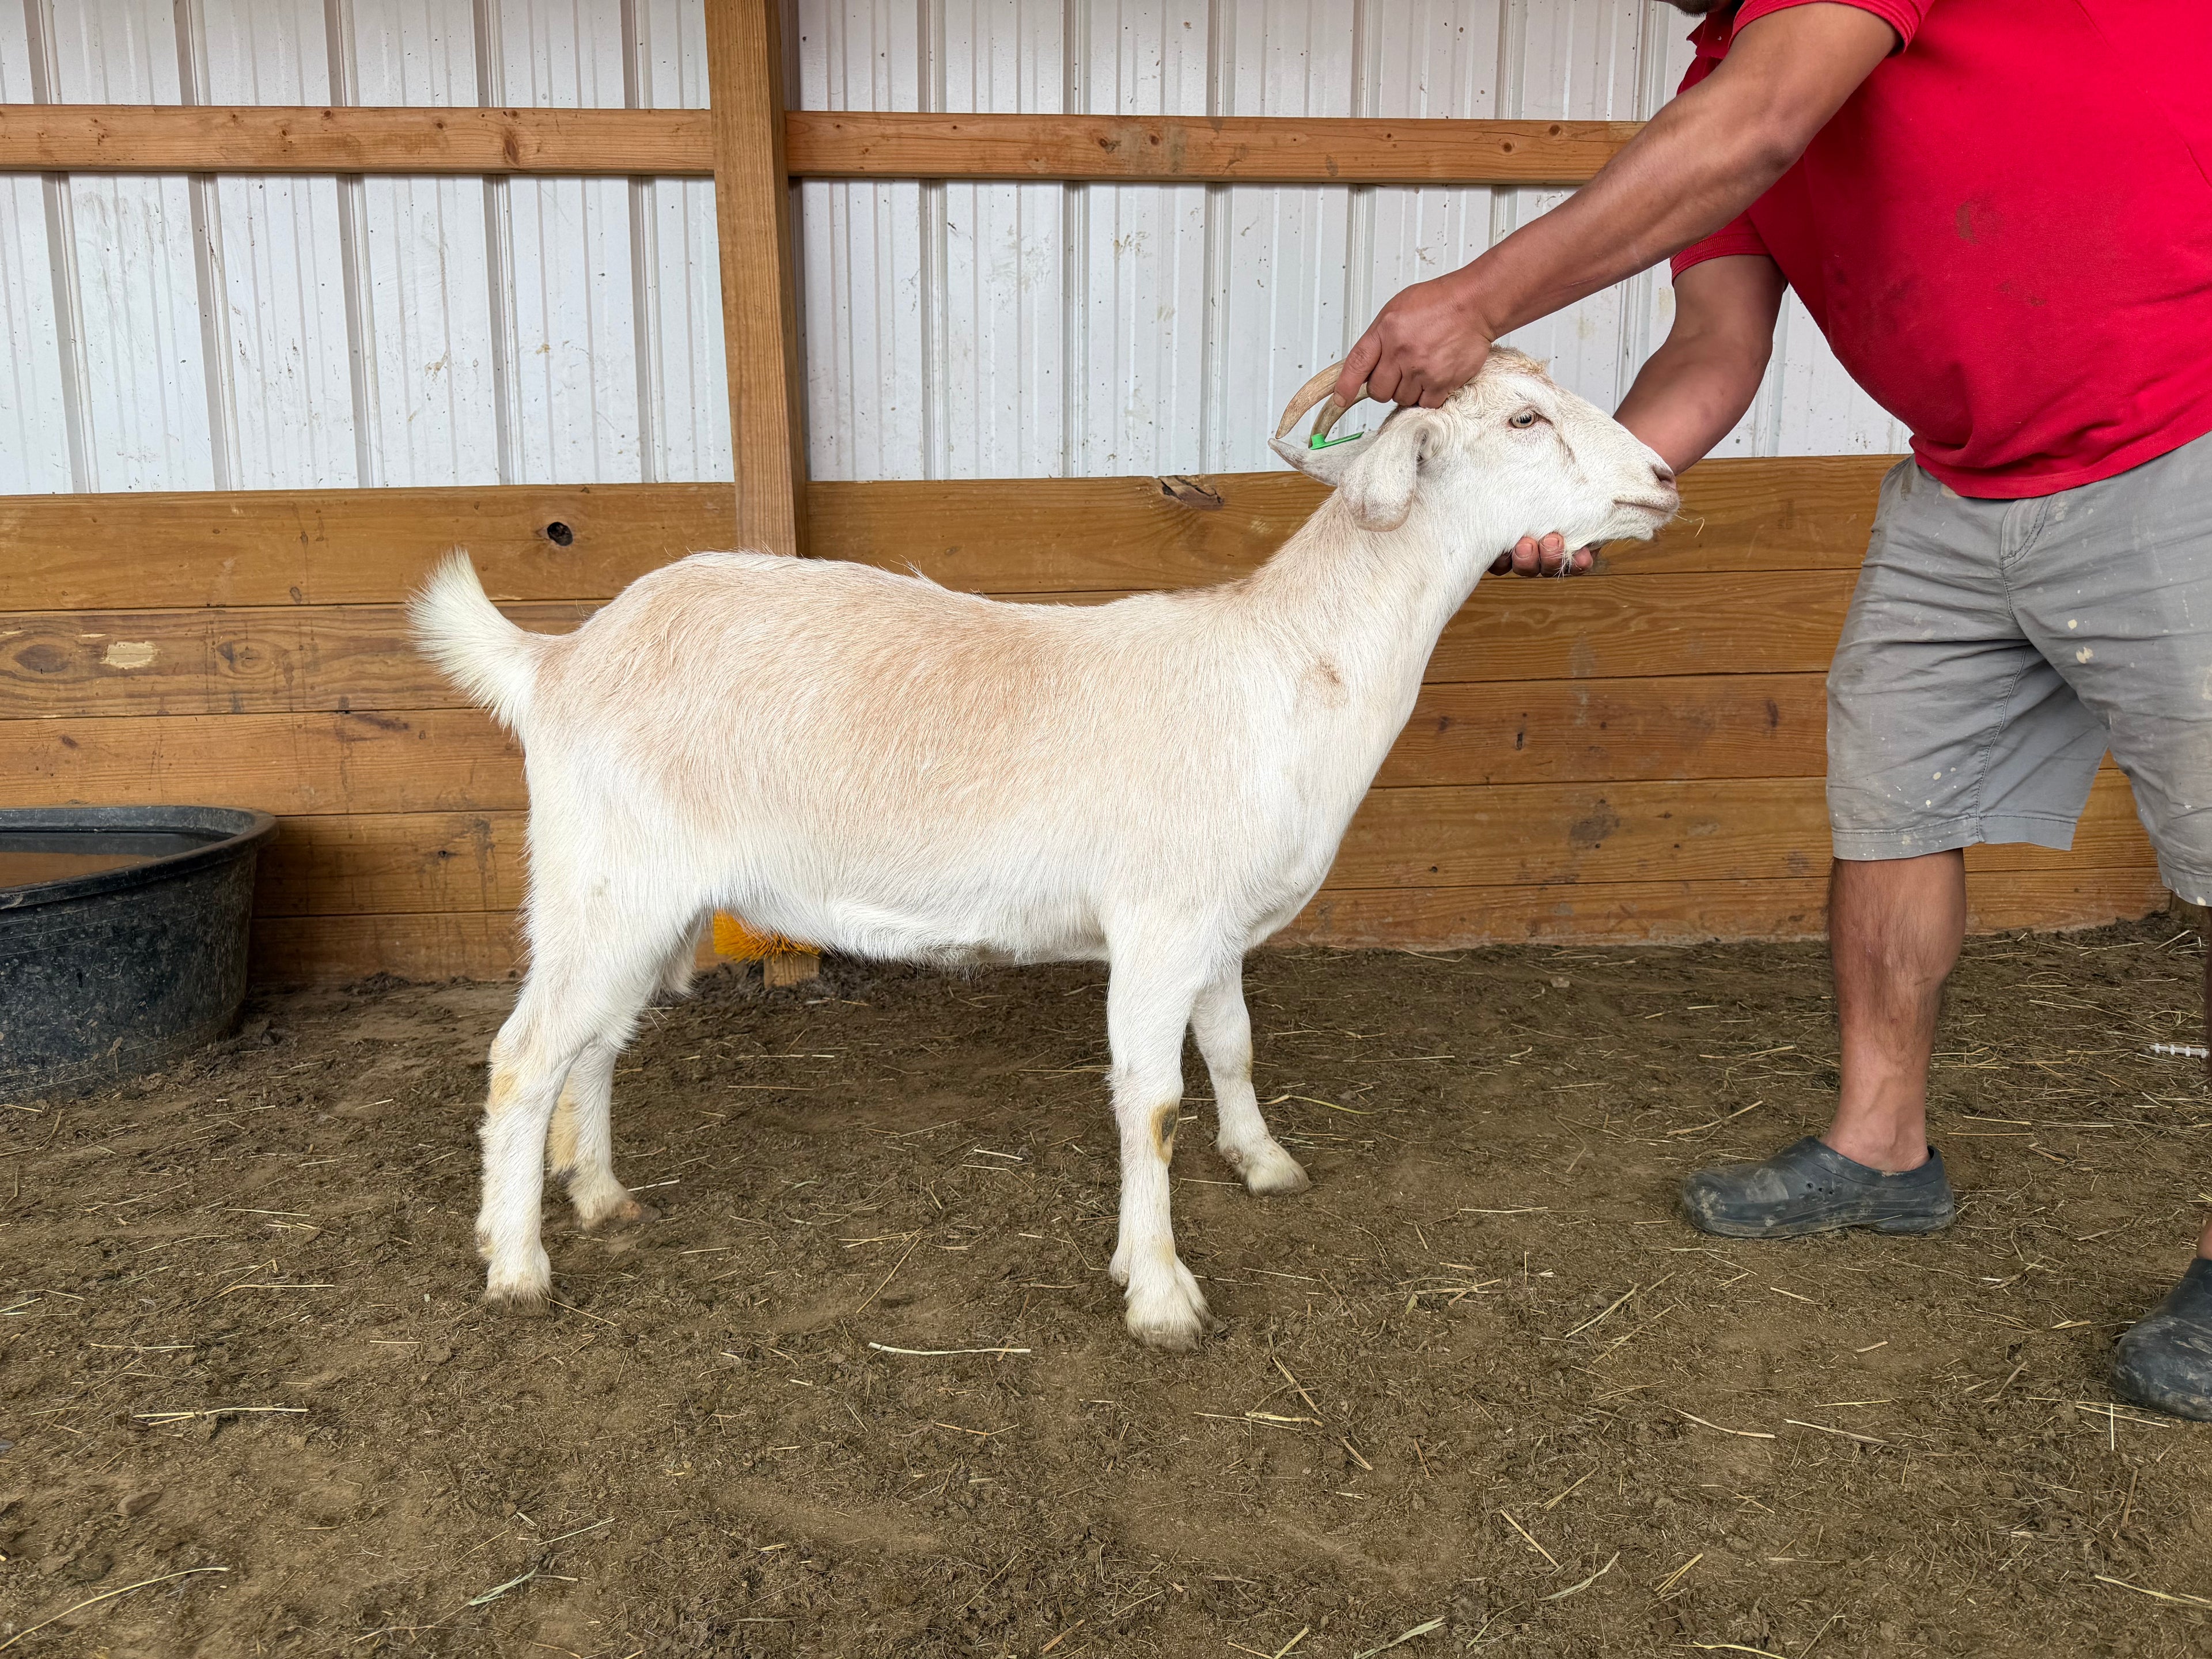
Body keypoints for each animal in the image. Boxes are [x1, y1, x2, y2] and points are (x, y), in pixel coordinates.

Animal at [412, 348, 1678, 1349]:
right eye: (1524, 420)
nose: (1665, 477)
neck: (1286, 663)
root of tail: (557, 660)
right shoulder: (1158, 924)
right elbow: (1151, 1100)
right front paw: (1160, 1293)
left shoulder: (1214, 927)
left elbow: (1232, 1046)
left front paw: (1264, 1162)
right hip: (608, 879)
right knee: (525, 1054)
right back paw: (517, 1265)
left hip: (641, 899)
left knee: (596, 1043)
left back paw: (597, 1195)